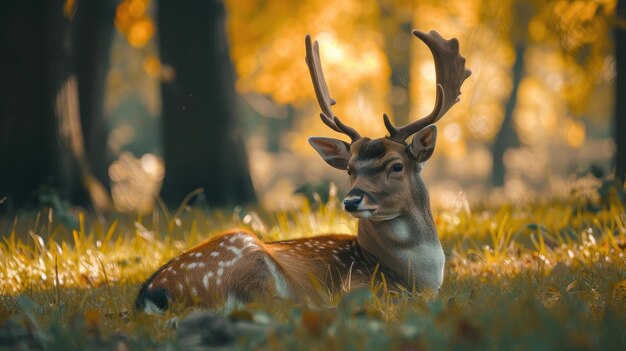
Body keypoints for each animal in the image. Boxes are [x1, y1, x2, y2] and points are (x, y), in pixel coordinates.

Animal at [136, 30, 468, 314]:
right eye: (350, 169)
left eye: (396, 165)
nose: (352, 201)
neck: (418, 278)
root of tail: (152, 295)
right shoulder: (366, 285)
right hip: (247, 258)